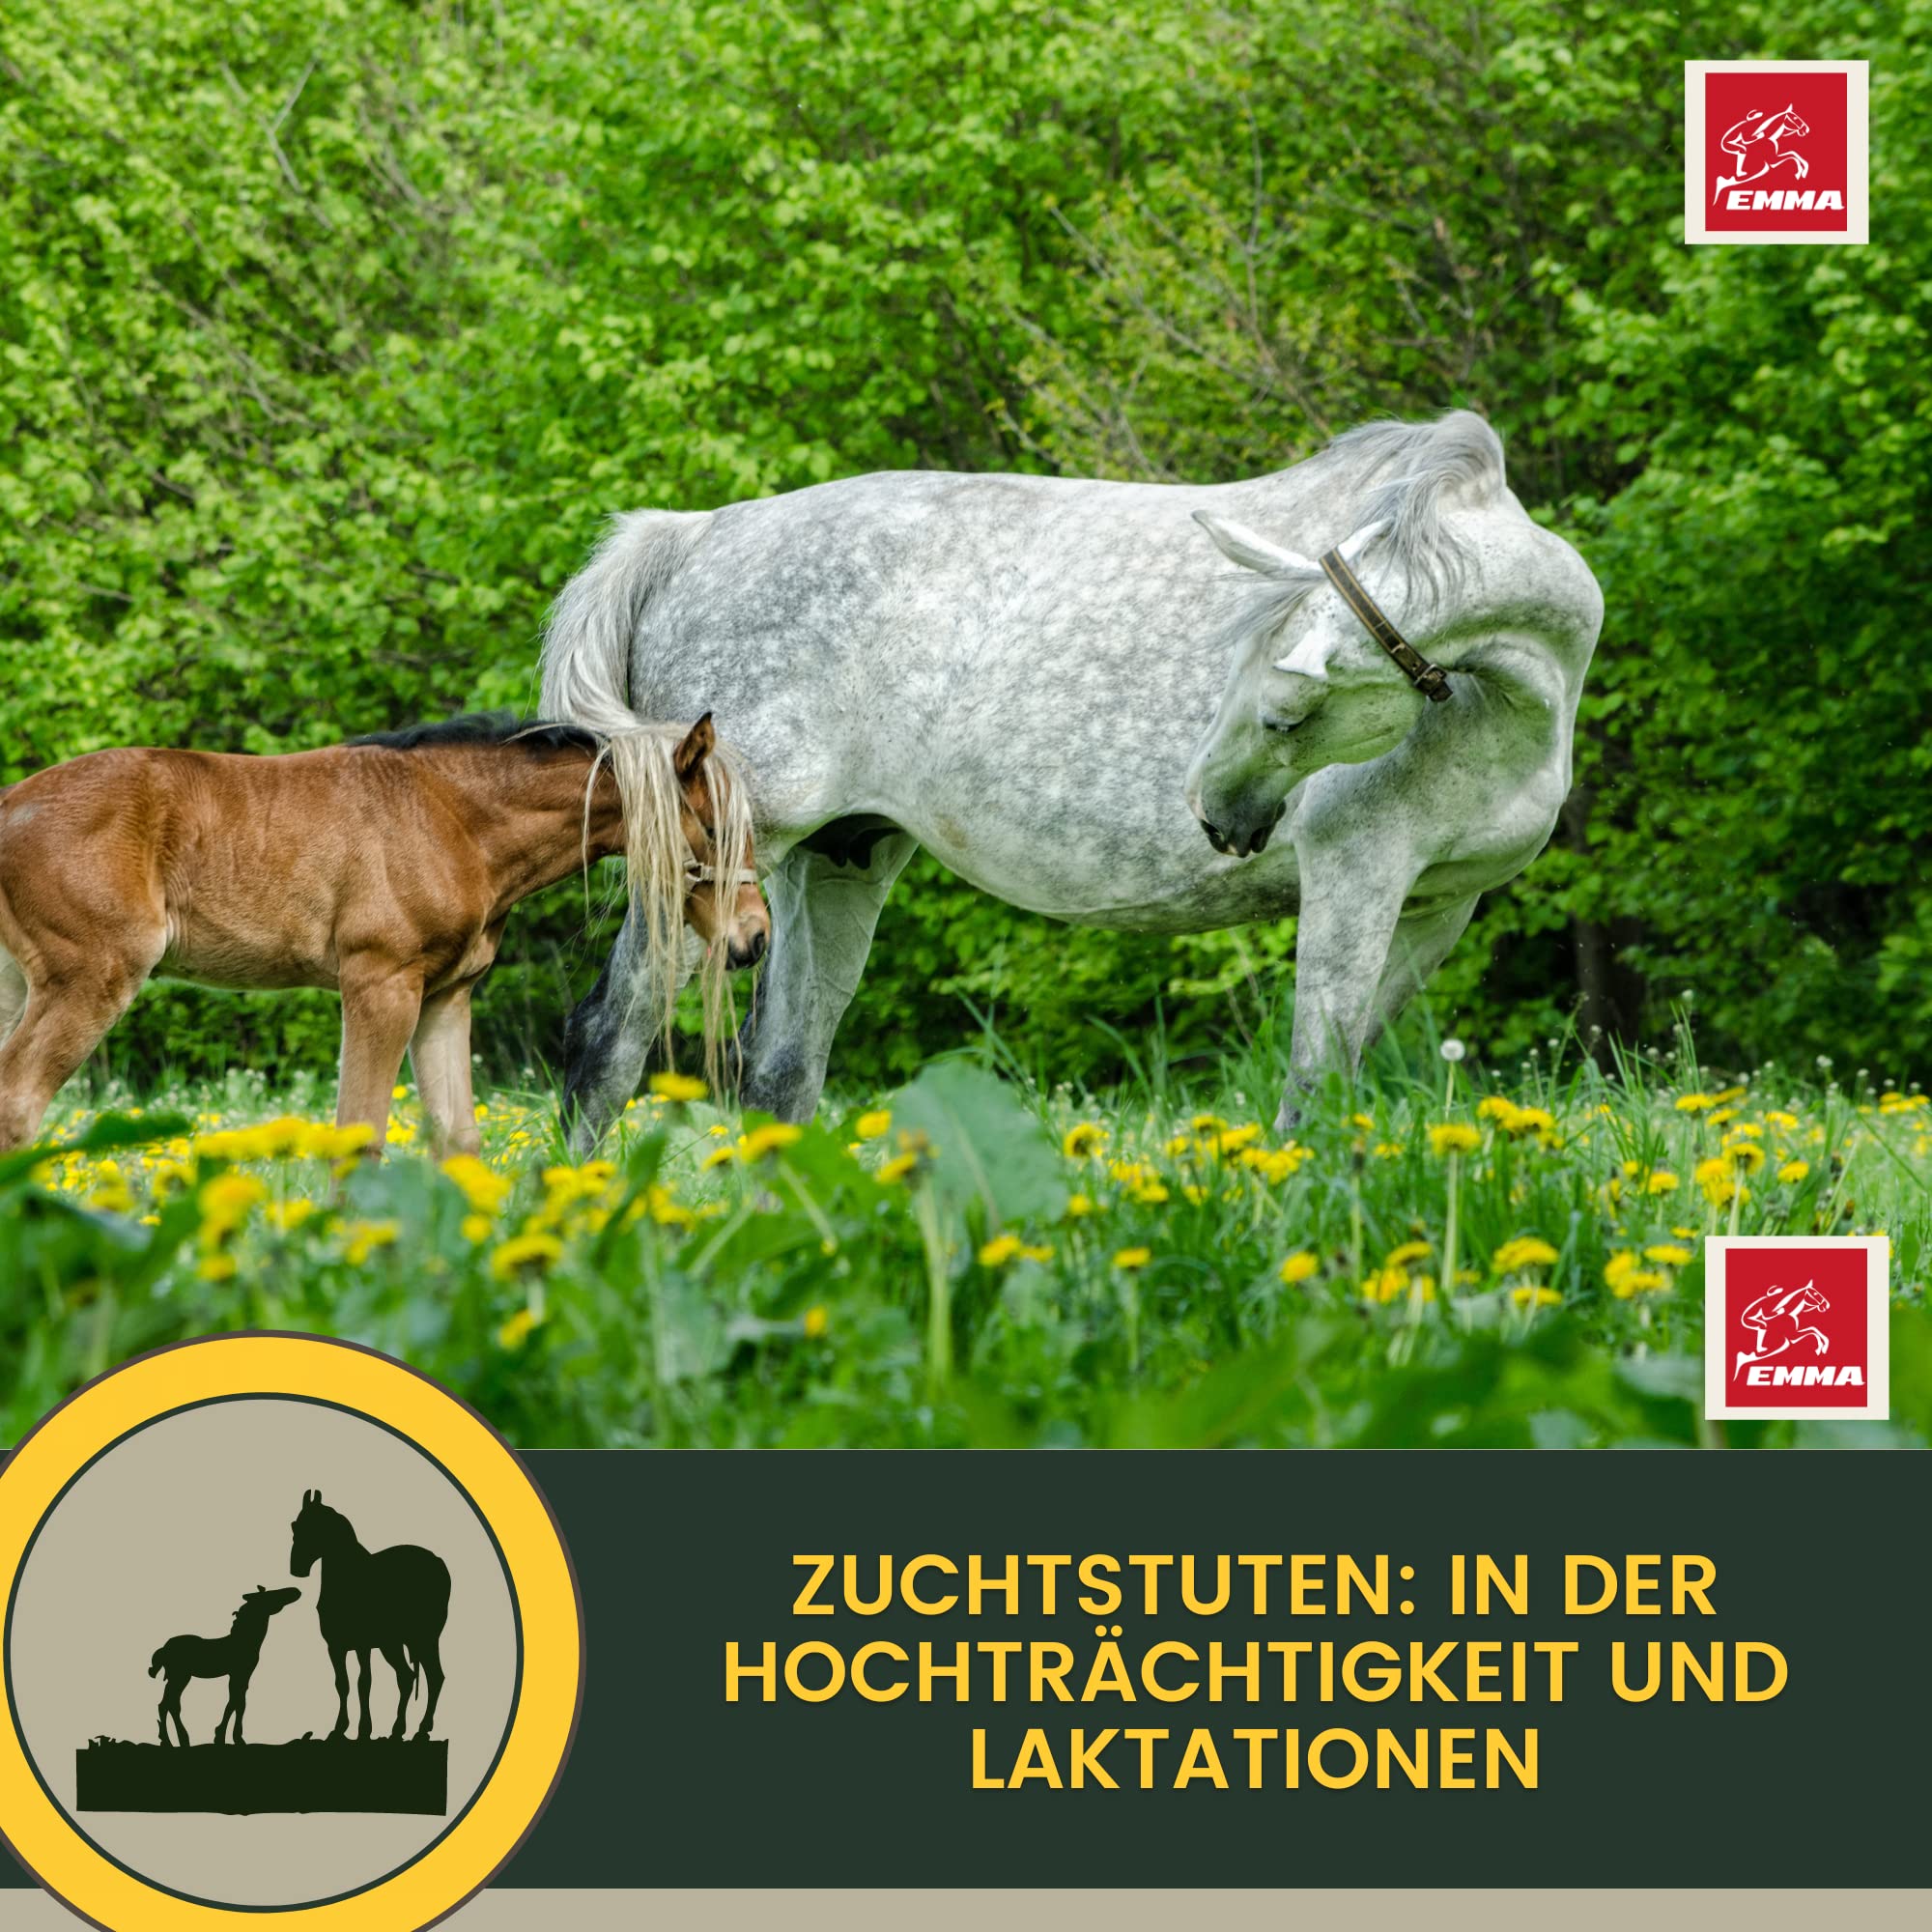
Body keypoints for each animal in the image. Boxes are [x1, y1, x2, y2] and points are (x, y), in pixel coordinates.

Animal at [0, 711, 766, 1155]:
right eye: (715, 827)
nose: (754, 938)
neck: (455, 818)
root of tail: (10, 804)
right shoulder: (381, 984)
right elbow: (360, 1132)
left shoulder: (445, 998)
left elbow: (457, 1138)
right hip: (90, 978)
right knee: (18, 1104)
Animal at [149, 1584, 301, 1747]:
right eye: (270, 1595)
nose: (296, 1591)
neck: (247, 1641)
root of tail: (164, 1649)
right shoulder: (239, 1673)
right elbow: (236, 1702)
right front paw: (231, 1737)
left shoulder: (241, 1675)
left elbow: (237, 1702)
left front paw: (226, 1736)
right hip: (180, 1676)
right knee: (169, 1704)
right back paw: (176, 1740)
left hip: (178, 1677)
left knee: (167, 1704)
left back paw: (172, 1740)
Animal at [290, 1488, 451, 1744]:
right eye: (295, 1526)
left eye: (315, 1527)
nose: (296, 1568)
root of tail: (438, 1562)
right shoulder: (336, 1647)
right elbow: (342, 1684)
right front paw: (339, 1730)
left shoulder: (363, 1645)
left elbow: (363, 1683)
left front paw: (364, 1730)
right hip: (392, 1645)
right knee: (406, 1677)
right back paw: (397, 1731)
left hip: (424, 1638)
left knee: (434, 1676)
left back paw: (422, 1730)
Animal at [540, 410, 1600, 1144]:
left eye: (1281, 711)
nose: (1213, 812)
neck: (1504, 702)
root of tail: (688, 536)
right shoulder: (1356, 874)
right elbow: (1314, 1079)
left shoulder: (1435, 907)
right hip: (707, 862)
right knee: (608, 1044)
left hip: (835, 858)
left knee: (780, 1078)